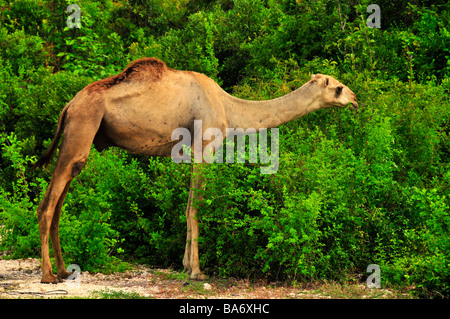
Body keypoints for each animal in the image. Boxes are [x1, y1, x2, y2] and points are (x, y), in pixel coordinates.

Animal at [33, 56, 358, 284]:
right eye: (338, 87)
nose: (355, 100)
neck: (229, 107)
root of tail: (68, 105)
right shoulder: (205, 147)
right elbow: (196, 207)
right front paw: (197, 271)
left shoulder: (191, 151)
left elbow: (188, 204)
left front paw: (185, 265)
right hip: (82, 126)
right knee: (48, 203)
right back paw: (48, 275)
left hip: (80, 136)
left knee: (59, 200)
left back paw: (64, 271)